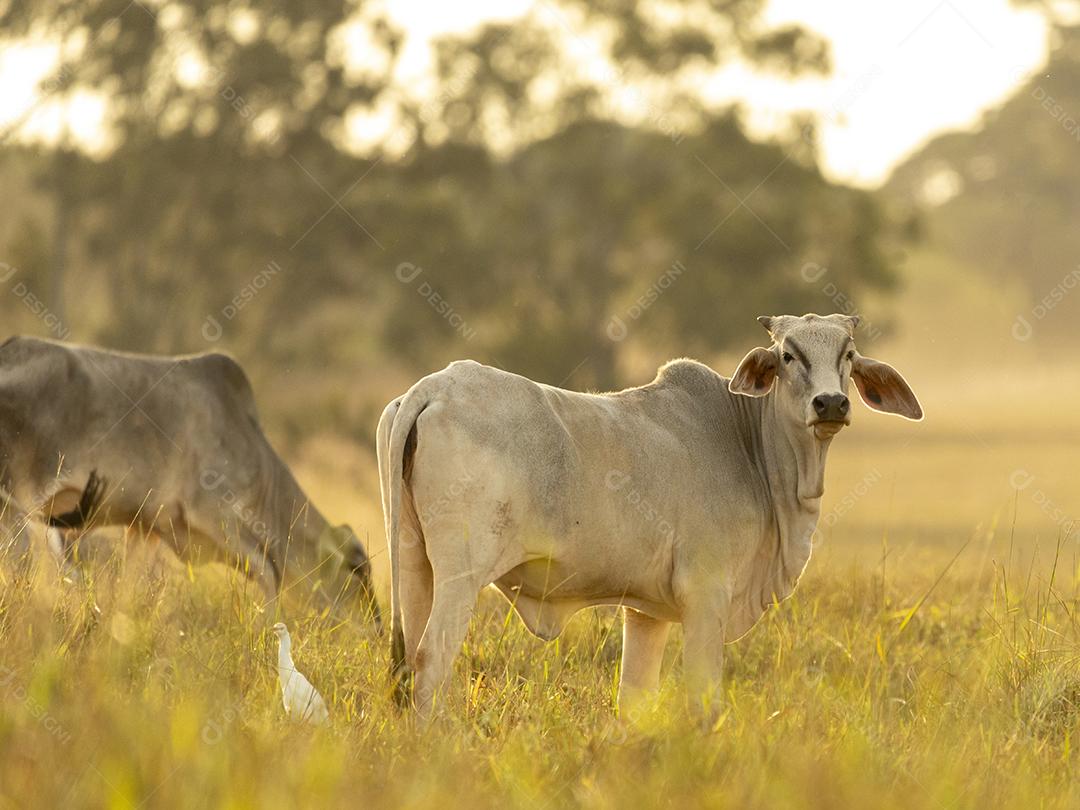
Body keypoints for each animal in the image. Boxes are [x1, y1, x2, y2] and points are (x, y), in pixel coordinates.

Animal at [0, 335, 380, 627]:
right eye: (358, 571)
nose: (376, 631)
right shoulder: (213, 514)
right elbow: (268, 571)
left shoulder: (146, 526)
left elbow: (130, 581)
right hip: (19, 509)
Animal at [377, 313, 922, 719]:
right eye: (789, 355)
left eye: (847, 354)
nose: (830, 403)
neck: (750, 444)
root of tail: (435, 386)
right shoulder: (706, 595)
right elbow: (703, 704)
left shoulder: (645, 613)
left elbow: (633, 702)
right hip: (460, 575)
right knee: (429, 662)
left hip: (414, 563)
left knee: (408, 663)